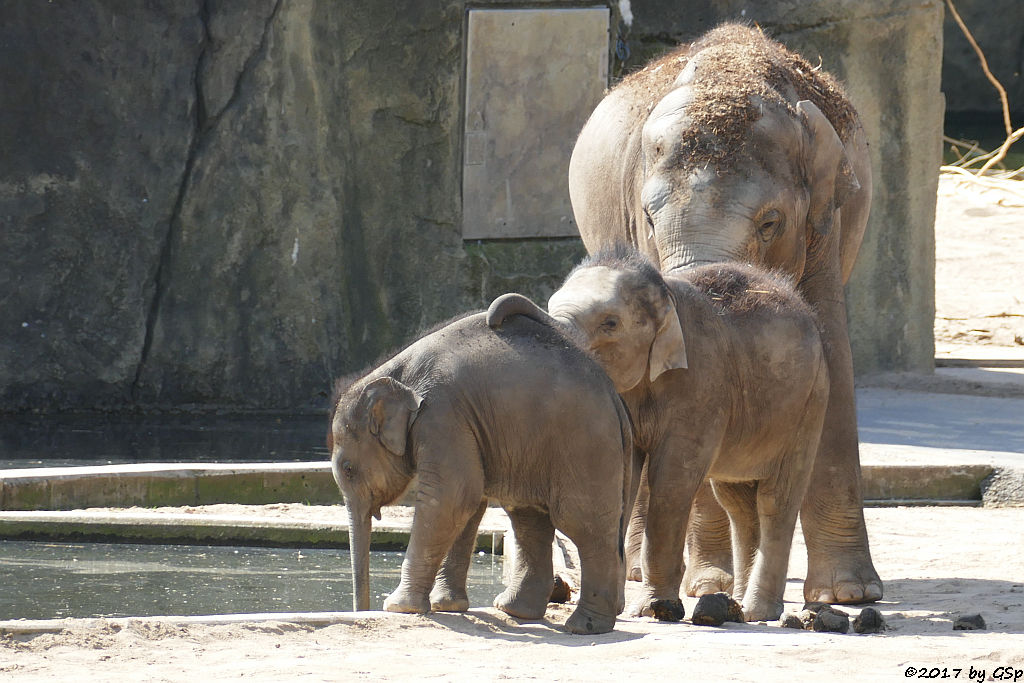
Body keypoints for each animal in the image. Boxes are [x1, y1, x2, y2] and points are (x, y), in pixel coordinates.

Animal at [327, 307, 630, 634]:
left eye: (348, 469)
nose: (362, 610)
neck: (397, 375)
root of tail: (614, 395)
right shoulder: (465, 425)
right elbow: (468, 503)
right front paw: (446, 605)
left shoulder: (442, 414)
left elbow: (452, 498)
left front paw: (399, 607)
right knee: (528, 516)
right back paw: (516, 610)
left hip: (585, 445)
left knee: (581, 522)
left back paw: (584, 626)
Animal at [483, 248, 827, 622]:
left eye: (610, 323)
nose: (493, 320)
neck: (665, 295)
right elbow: (626, 476)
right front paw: (620, 608)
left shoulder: (700, 384)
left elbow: (671, 482)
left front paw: (650, 609)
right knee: (737, 502)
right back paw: (737, 603)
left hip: (809, 405)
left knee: (775, 499)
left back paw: (756, 611)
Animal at [569, 21, 880, 602]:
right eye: (649, 217)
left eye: (771, 222)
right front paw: (706, 585)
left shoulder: (824, 229)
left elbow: (832, 354)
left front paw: (848, 594)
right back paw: (659, 574)